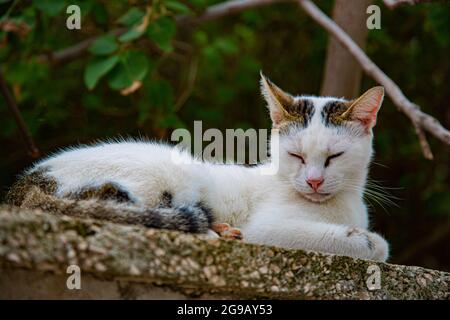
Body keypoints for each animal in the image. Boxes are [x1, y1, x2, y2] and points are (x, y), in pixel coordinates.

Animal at [5, 73, 388, 262]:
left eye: (334, 157)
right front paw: (366, 241)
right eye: (296, 156)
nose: (313, 181)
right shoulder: (268, 228)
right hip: (171, 173)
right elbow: (371, 245)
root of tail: (25, 186)